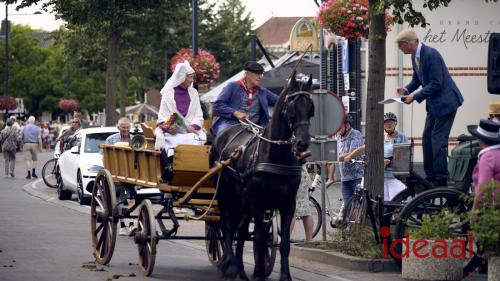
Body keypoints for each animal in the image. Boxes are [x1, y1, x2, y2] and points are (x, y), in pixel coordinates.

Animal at [210, 72, 312, 280]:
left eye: (310, 109)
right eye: (292, 109)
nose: (302, 143)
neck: (277, 156)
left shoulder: (288, 204)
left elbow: (283, 243)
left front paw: (284, 275)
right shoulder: (259, 201)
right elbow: (260, 238)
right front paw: (258, 274)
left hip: (243, 202)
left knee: (240, 231)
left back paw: (239, 268)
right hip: (226, 196)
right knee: (226, 226)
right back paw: (229, 266)